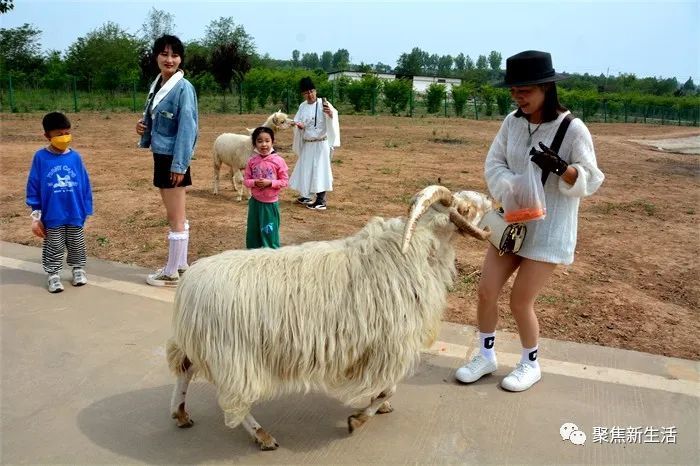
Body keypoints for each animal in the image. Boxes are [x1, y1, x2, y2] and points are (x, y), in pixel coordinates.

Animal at [166, 186, 490, 452]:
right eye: (464, 208)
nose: (492, 200)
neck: (411, 254)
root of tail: (189, 284)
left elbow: (386, 389)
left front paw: (378, 408)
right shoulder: (389, 346)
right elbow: (388, 387)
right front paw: (358, 419)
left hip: (198, 344)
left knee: (185, 370)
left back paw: (180, 414)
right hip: (236, 357)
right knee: (233, 401)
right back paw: (263, 436)